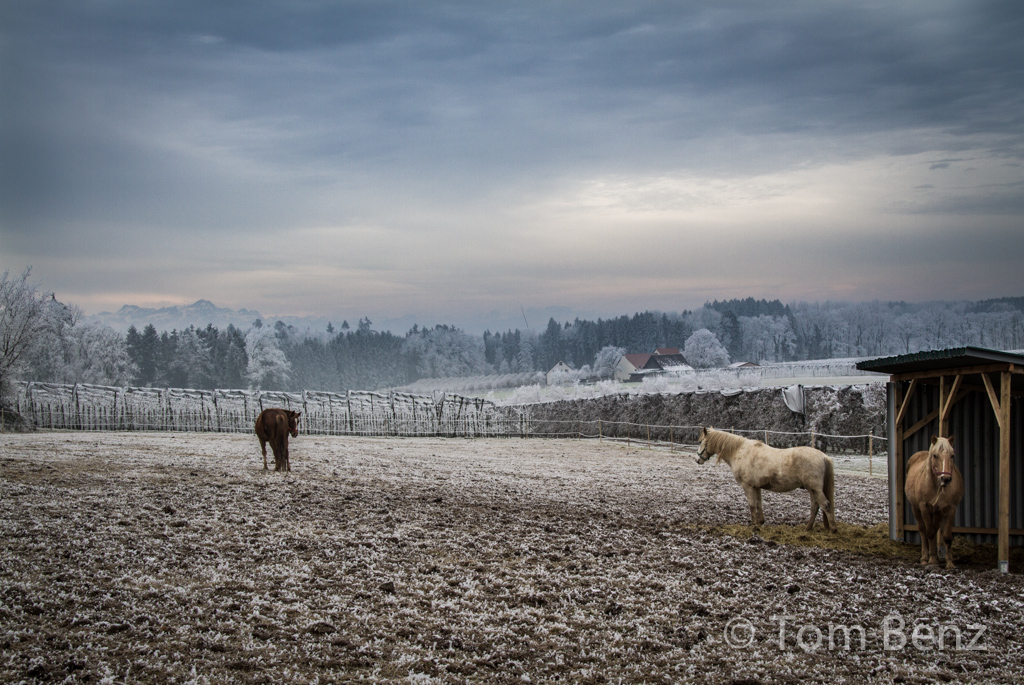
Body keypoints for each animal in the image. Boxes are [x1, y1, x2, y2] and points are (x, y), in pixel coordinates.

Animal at [696, 423, 839, 532]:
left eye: (702, 442)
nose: (698, 459)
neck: (740, 451)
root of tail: (823, 456)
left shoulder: (748, 486)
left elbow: (752, 505)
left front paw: (754, 524)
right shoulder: (757, 486)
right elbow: (759, 504)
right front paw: (760, 522)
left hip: (815, 489)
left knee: (826, 506)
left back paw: (833, 530)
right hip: (812, 490)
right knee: (815, 507)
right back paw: (808, 528)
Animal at [909, 436, 962, 569]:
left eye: (952, 455)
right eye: (935, 455)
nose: (946, 479)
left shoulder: (950, 508)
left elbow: (946, 536)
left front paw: (949, 563)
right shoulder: (924, 507)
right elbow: (930, 534)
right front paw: (931, 560)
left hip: (936, 512)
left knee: (934, 528)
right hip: (916, 508)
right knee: (923, 531)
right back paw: (925, 558)